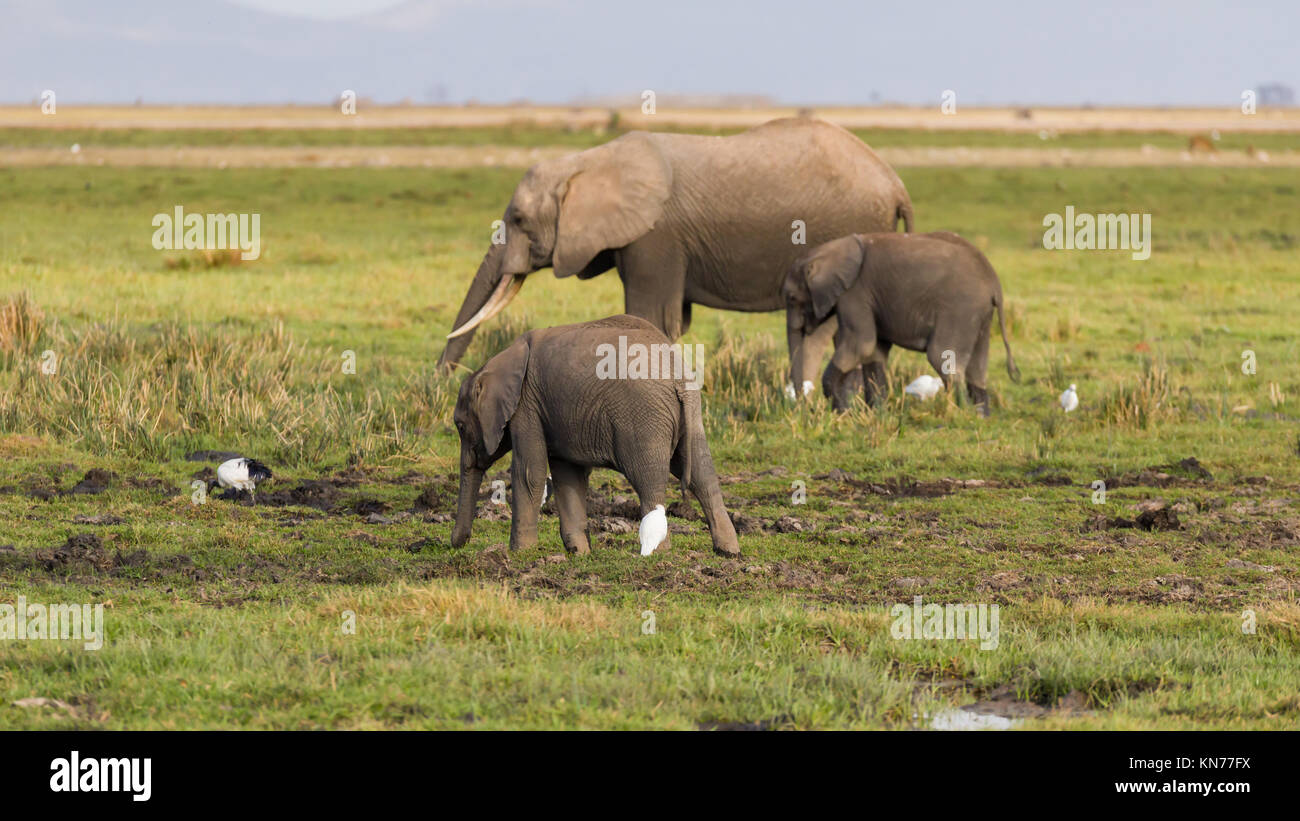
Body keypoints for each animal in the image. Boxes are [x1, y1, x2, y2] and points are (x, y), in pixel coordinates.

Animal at [436, 114, 915, 392]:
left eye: (518, 219)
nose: (442, 382)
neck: (586, 161)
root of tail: (896, 184)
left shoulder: (655, 238)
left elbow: (648, 315)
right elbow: (670, 322)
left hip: (847, 230)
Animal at [449, 314, 743, 558]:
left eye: (460, 426)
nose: (455, 544)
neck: (496, 362)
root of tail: (677, 375)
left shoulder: (526, 405)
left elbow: (529, 472)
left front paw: (520, 553)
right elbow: (568, 477)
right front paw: (580, 554)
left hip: (643, 419)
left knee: (648, 481)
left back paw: (657, 553)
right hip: (690, 417)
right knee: (704, 476)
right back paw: (728, 551)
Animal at [774, 231, 1019, 413]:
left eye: (792, 298)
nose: (805, 409)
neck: (830, 250)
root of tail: (994, 282)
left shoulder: (855, 294)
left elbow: (861, 344)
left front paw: (840, 411)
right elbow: (874, 351)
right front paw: (875, 413)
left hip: (960, 309)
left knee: (942, 357)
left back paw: (961, 413)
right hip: (980, 316)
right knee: (977, 368)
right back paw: (980, 416)